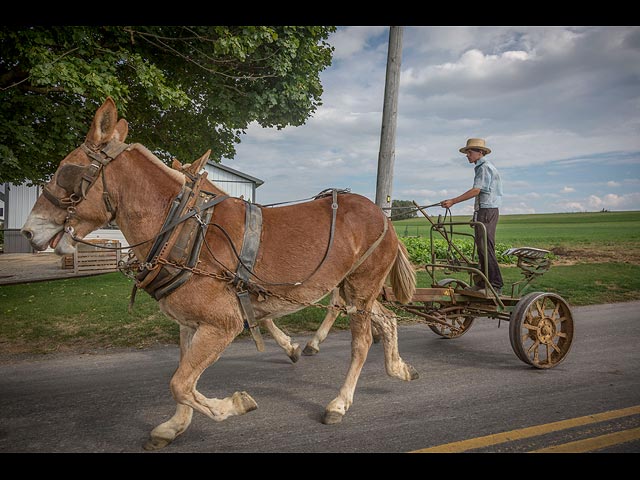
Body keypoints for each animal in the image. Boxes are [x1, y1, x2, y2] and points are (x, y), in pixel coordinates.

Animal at [20, 97, 418, 450]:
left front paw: (235, 404)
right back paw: (397, 367)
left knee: (361, 342)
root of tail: (382, 215)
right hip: (355, 289)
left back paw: (339, 402)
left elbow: (181, 383)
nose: (27, 231)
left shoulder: (222, 323)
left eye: (65, 171)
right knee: (387, 320)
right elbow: (183, 378)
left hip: (361, 287)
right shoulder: (190, 324)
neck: (181, 229)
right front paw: (174, 426)